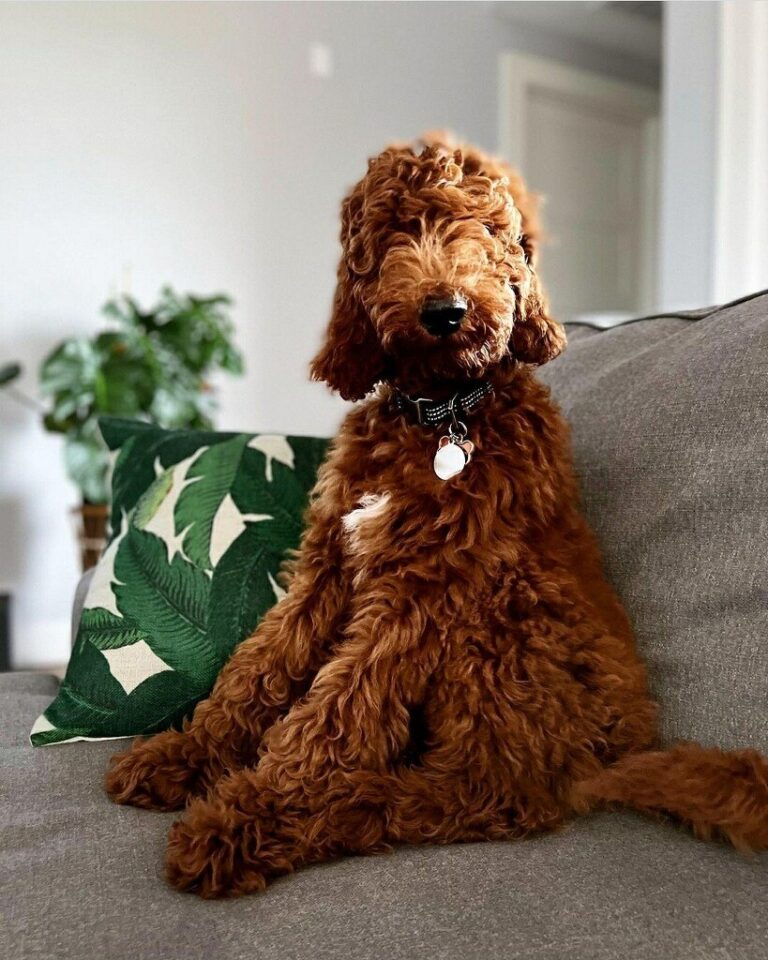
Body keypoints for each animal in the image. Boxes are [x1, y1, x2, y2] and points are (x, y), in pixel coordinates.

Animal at [106, 133, 768, 892]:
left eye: (483, 228)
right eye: (396, 231)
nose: (445, 310)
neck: (442, 414)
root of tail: (608, 762)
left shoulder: (423, 594)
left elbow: (335, 714)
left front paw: (251, 810)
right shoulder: (328, 569)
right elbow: (260, 667)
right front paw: (185, 754)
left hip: (503, 629)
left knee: (468, 796)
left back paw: (308, 819)